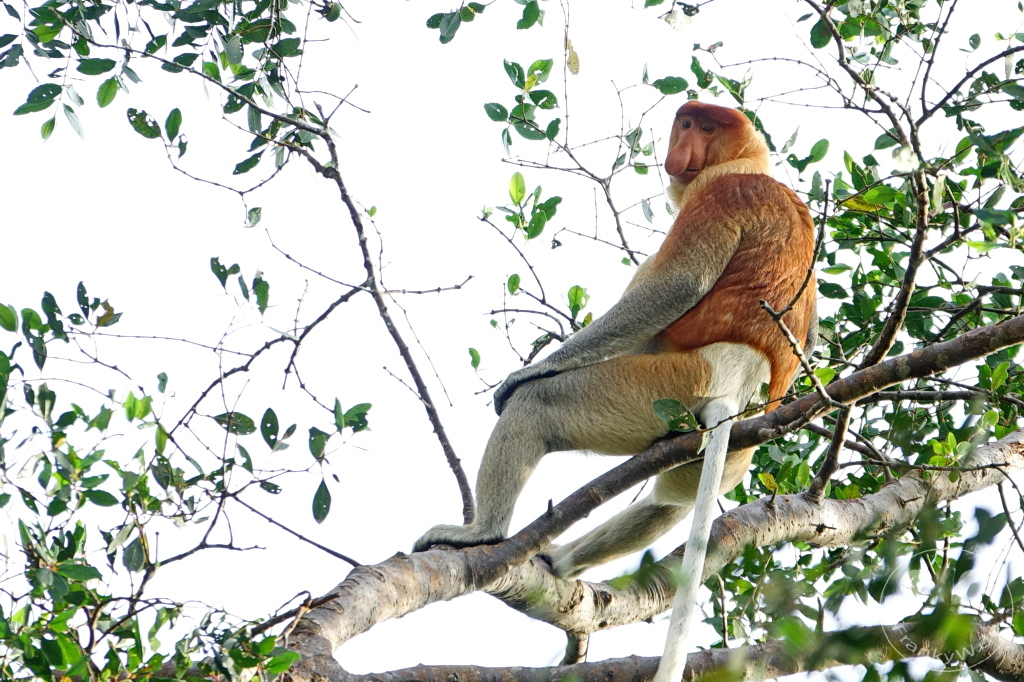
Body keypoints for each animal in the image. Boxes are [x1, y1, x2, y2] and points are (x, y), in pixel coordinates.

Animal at [414, 101, 816, 678]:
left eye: (705, 125)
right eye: (687, 123)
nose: (681, 149)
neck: (754, 165)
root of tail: (744, 383)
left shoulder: (722, 190)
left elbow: (678, 285)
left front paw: (526, 374)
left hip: (667, 386)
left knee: (539, 408)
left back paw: (484, 532)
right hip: (721, 436)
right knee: (671, 500)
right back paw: (559, 560)